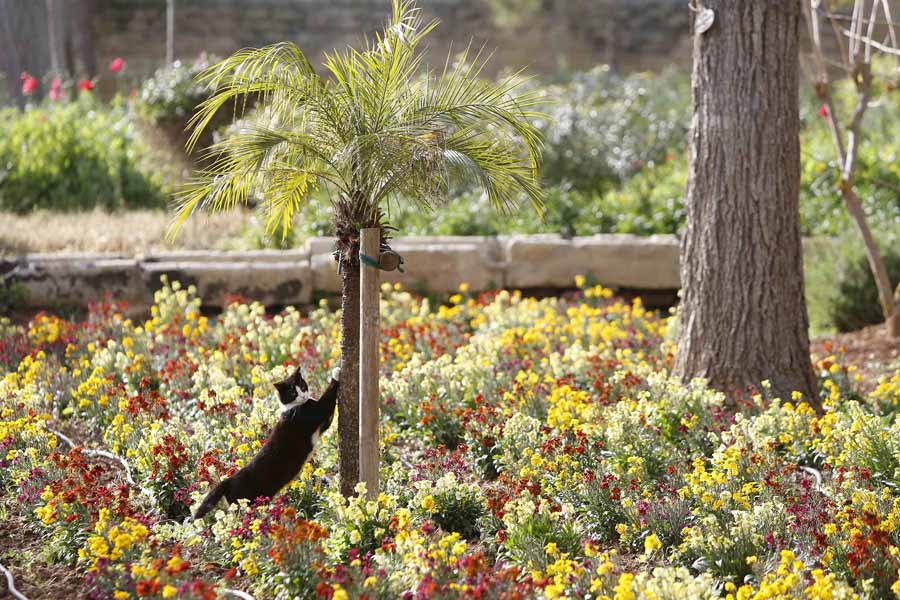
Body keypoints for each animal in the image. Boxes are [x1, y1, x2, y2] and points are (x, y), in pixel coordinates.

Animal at [192, 364, 340, 516]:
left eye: (302, 386)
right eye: (293, 393)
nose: (303, 395)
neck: (293, 407)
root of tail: (227, 481)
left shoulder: (322, 423)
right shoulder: (312, 414)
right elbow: (326, 400)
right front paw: (336, 373)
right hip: (246, 502)